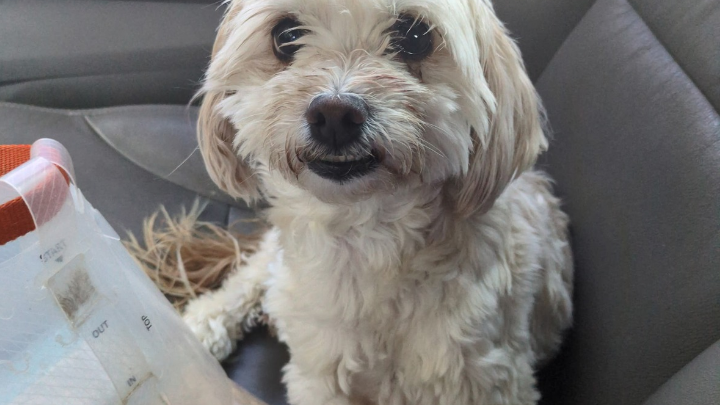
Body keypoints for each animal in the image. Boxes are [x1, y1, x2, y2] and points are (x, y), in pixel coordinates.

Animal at [182, 0, 573, 404]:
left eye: (415, 36)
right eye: (285, 35)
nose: (335, 114)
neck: (361, 231)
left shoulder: (485, 374)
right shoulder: (318, 375)